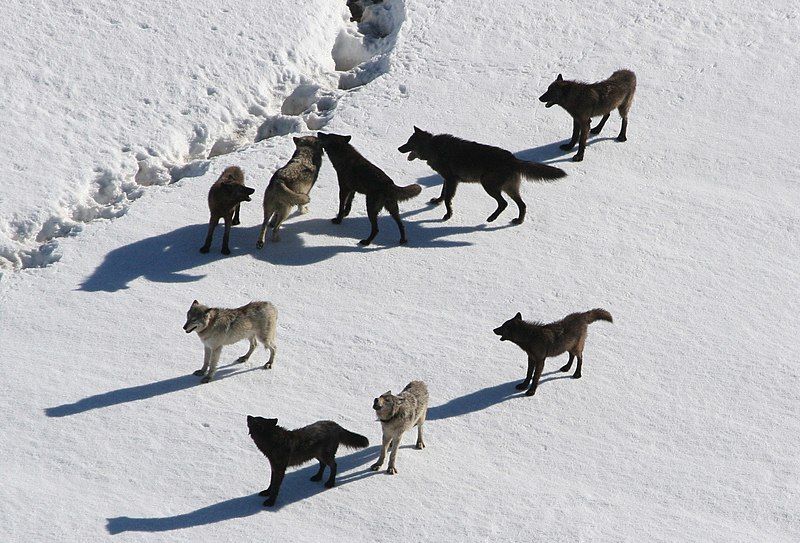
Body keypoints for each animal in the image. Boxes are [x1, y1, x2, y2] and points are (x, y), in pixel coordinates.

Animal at [396, 127, 564, 223]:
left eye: (409, 143)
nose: (398, 148)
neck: (433, 147)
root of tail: (513, 159)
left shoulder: (451, 180)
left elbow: (448, 200)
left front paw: (448, 215)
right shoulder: (447, 179)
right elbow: (443, 194)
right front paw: (437, 201)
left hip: (488, 185)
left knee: (504, 203)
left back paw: (491, 218)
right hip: (509, 188)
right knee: (522, 205)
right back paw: (518, 221)